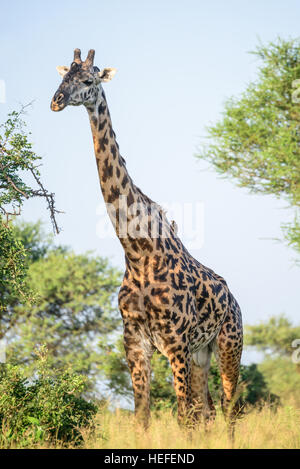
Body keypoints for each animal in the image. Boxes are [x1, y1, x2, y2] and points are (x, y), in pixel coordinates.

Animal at [51, 49, 244, 430]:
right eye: (64, 77)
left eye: (89, 80)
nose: (57, 100)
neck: (137, 251)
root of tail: (234, 300)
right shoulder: (135, 340)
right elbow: (142, 416)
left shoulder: (175, 341)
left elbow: (183, 418)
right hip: (202, 353)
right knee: (210, 410)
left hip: (229, 343)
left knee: (229, 407)